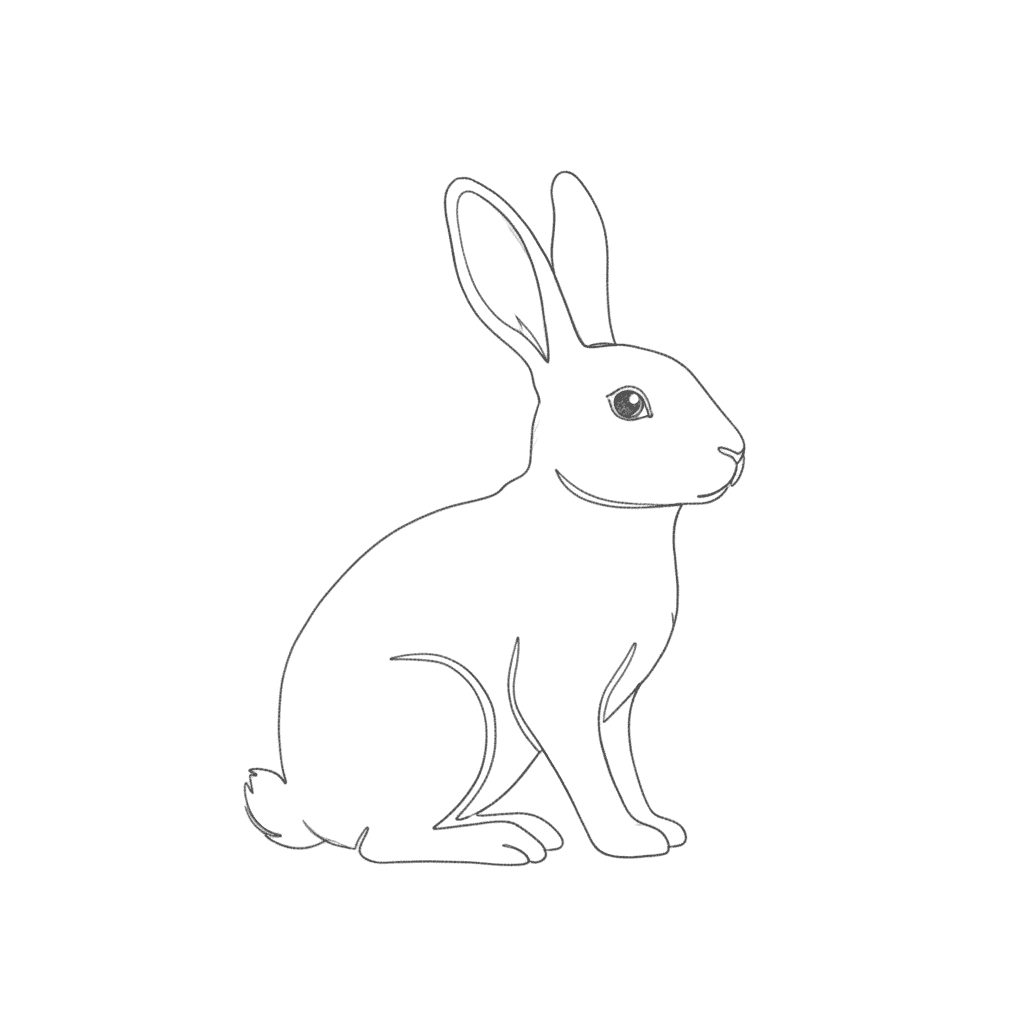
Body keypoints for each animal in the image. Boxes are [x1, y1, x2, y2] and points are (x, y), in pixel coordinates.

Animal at [244, 171, 745, 864]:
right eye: (629, 403)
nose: (736, 452)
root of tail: (310, 811)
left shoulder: (616, 706)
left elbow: (623, 765)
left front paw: (661, 828)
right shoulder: (558, 690)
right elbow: (592, 772)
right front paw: (628, 843)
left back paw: (527, 827)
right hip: (447, 706)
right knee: (386, 842)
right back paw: (510, 844)